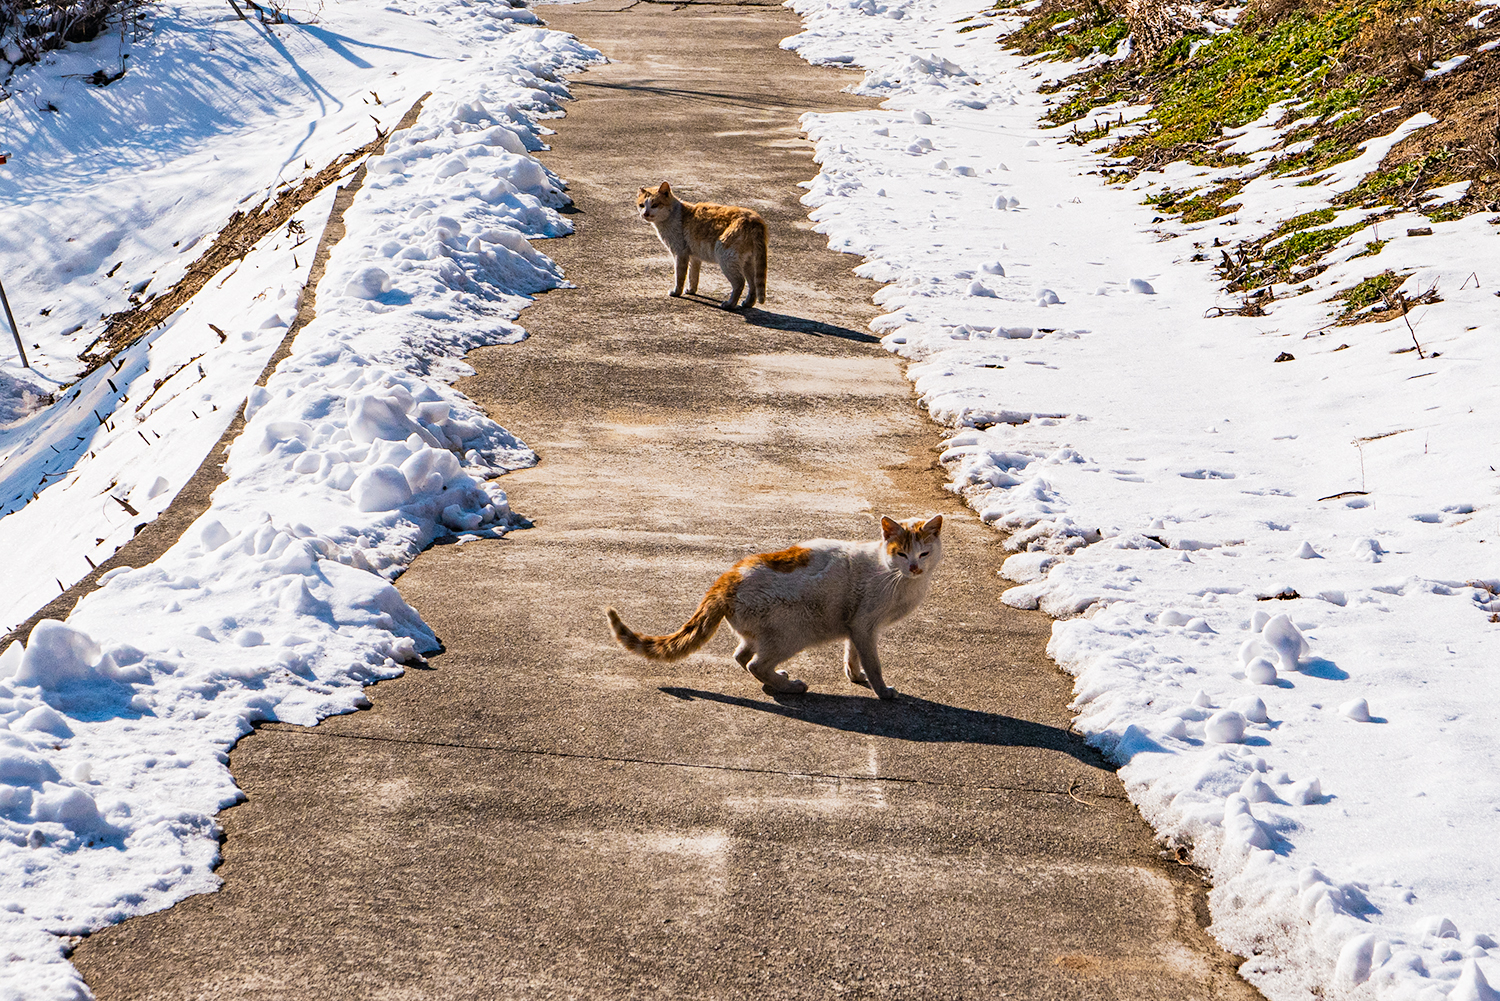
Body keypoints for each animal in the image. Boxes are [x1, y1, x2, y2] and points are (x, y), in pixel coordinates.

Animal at [606, 513, 936, 702]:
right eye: (901, 553)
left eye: (924, 553)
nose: (915, 567)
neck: (894, 575)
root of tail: (725, 581)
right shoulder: (865, 626)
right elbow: (873, 663)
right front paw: (883, 691)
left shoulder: (857, 628)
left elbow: (853, 655)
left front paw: (855, 677)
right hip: (795, 629)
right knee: (755, 663)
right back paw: (790, 687)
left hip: (766, 633)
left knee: (742, 656)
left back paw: (779, 681)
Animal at [636, 180, 768, 310]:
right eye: (642, 205)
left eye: (655, 205)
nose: (645, 213)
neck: (674, 214)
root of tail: (756, 221)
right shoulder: (694, 256)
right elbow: (693, 275)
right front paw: (691, 290)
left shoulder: (680, 253)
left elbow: (680, 276)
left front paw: (677, 292)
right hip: (747, 262)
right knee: (753, 284)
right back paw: (748, 303)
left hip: (726, 256)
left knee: (740, 282)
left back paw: (730, 304)